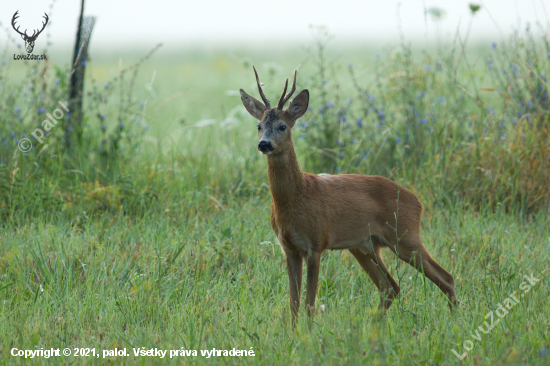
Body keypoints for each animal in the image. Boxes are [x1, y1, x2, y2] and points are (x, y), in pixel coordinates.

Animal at [242, 67, 462, 324]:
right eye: (259, 126)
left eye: (282, 126)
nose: (264, 144)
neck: (296, 197)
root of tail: (418, 202)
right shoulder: (289, 248)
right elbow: (293, 303)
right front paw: (294, 330)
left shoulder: (316, 243)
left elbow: (309, 303)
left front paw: (307, 332)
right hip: (365, 246)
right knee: (390, 287)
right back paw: (372, 324)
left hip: (405, 235)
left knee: (445, 277)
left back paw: (455, 320)